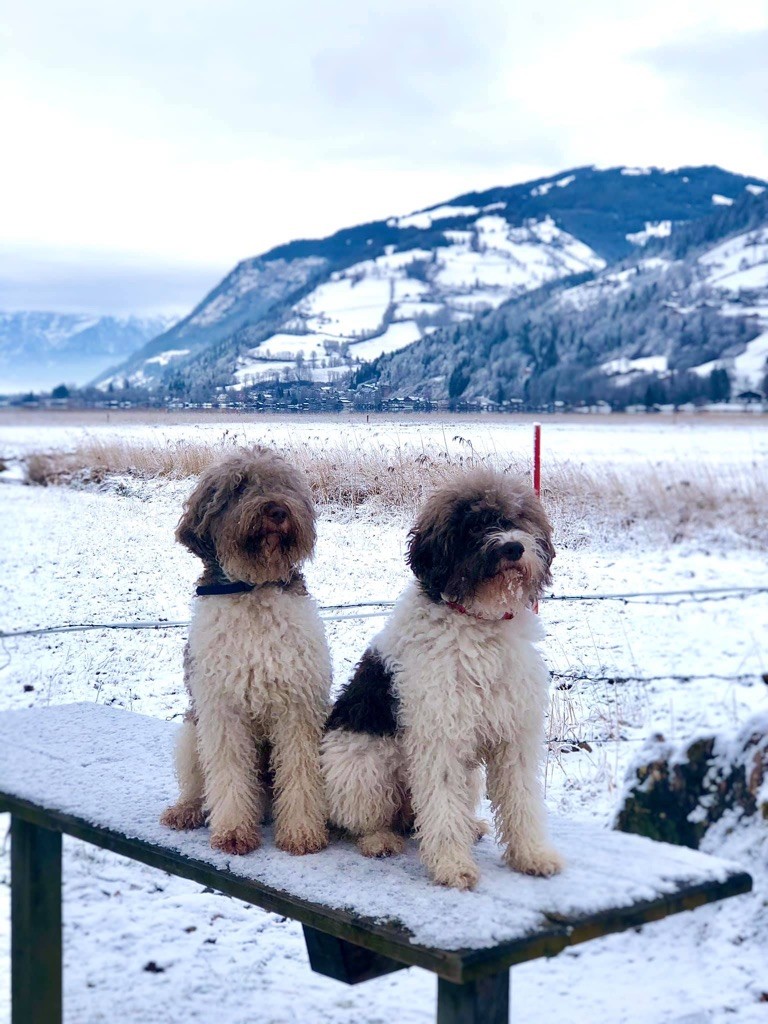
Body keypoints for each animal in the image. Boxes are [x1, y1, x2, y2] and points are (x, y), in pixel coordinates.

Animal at [162, 448, 331, 856]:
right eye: (238, 487)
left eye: (284, 484)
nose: (277, 511)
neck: (254, 589)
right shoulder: (222, 710)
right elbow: (229, 773)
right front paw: (234, 832)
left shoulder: (298, 706)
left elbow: (300, 770)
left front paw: (302, 833)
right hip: (191, 731)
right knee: (199, 785)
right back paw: (186, 810)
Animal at [319, 468, 565, 892]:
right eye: (475, 525)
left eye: (518, 518)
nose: (513, 548)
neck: (480, 623)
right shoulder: (440, 736)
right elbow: (442, 806)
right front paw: (453, 866)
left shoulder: (514, 733)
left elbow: (522, 799)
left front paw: (532, 855)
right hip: (359, 764)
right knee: (363, 818)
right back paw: (379, 839)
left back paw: (470, 827)